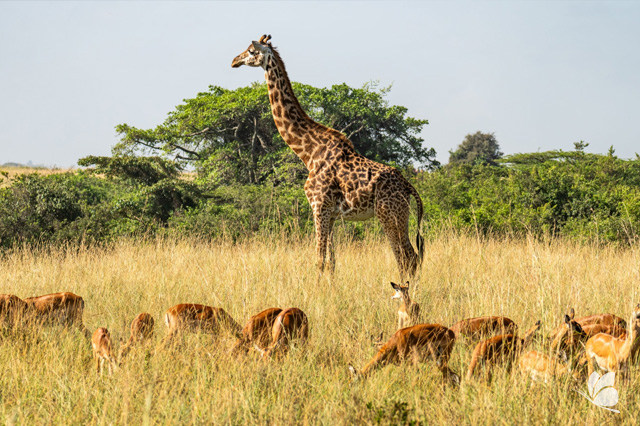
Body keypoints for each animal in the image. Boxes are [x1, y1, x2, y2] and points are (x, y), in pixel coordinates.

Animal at [231, 35, 424, 280]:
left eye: (250, 50)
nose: (234, 61)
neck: (308, 152)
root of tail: (408, 185)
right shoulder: (331, 214)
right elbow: (331, 263)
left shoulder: (318, 207)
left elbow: (319, 261)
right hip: (398, 215)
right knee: (410, 258)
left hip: (389, 214)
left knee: (407, 258)